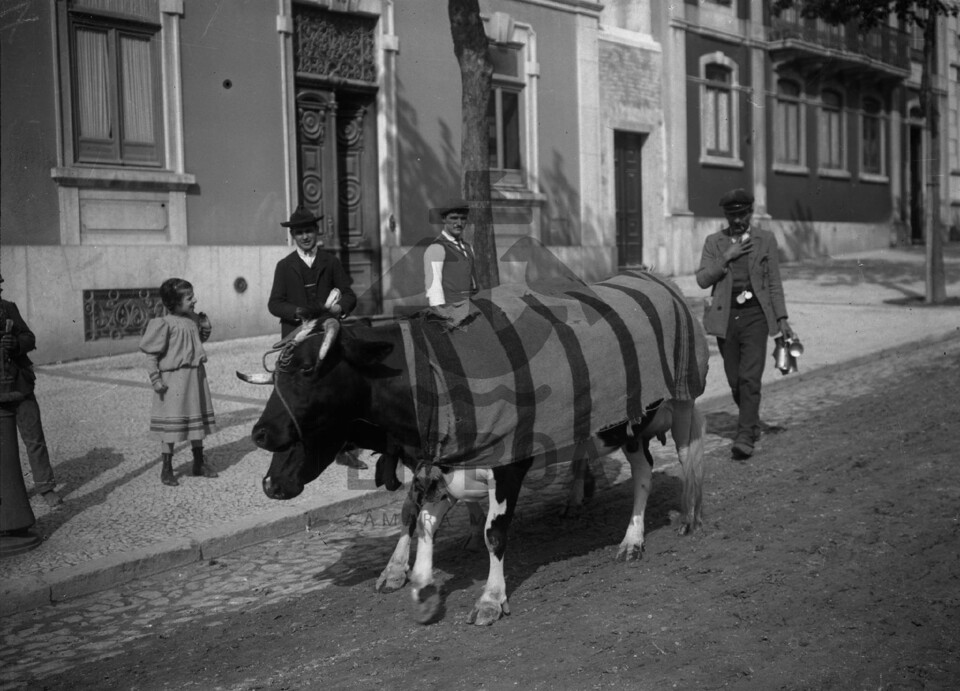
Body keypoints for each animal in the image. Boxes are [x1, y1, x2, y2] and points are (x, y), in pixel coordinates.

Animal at [238, 272, 708, 625]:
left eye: (307, 369)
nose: (259, 435)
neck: (429, 379)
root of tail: (652, 276)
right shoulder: (438, 464)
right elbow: (419, 519)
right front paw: (413, 579)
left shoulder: (508, 464)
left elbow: (493, 533)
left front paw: (490, 598)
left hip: (674, 403)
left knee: (671, 462)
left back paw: (662, 527)